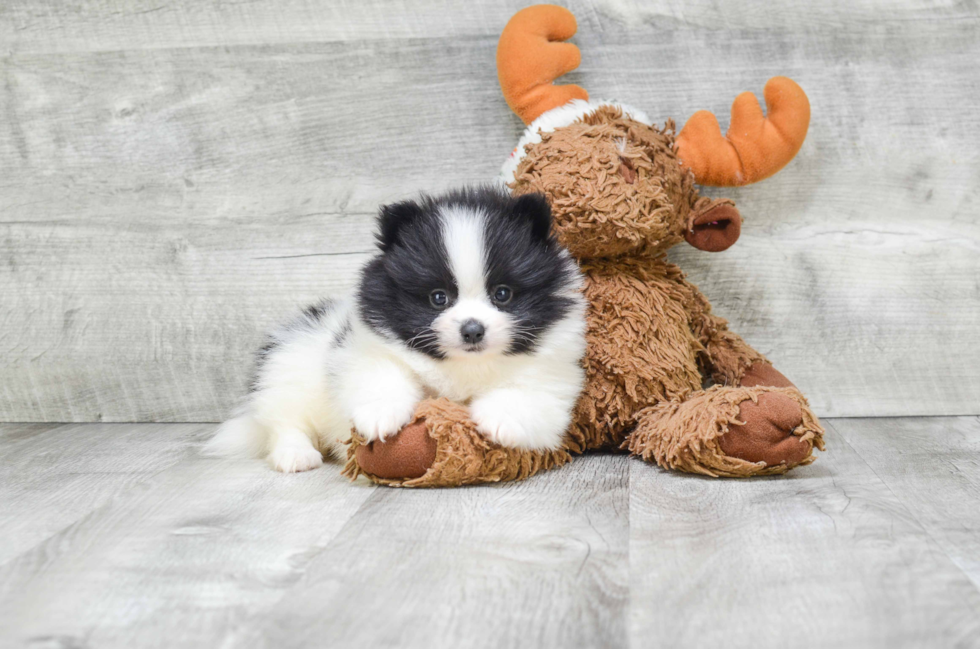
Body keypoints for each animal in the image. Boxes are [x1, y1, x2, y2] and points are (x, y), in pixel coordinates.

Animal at [208, 185, 584, 474]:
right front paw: (380, 416)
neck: (463, 366)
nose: (472, 329)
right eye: (438, 298)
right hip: (292, 368)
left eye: (502, 294)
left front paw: (501, 421)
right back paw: (296, 454)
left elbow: (527, 395)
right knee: (284, 422)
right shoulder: (367, 349)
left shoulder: (552, 375)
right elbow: (382, 376)